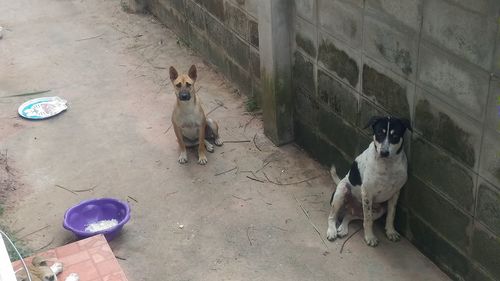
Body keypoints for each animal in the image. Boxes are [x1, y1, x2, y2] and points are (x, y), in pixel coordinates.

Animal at [326, 115, 412, 246]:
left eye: (395, 136)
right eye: (379, 133)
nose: (384, 152)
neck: (387, 165)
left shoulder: (395, 193)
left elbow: (391, 215)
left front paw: (390, 231)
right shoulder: (367, 193)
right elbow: (368, 220)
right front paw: (370, 237)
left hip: (378, 211)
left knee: (348, 216)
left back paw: (343, 229)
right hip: (341, 192)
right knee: (332, 217)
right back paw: (332, 231)